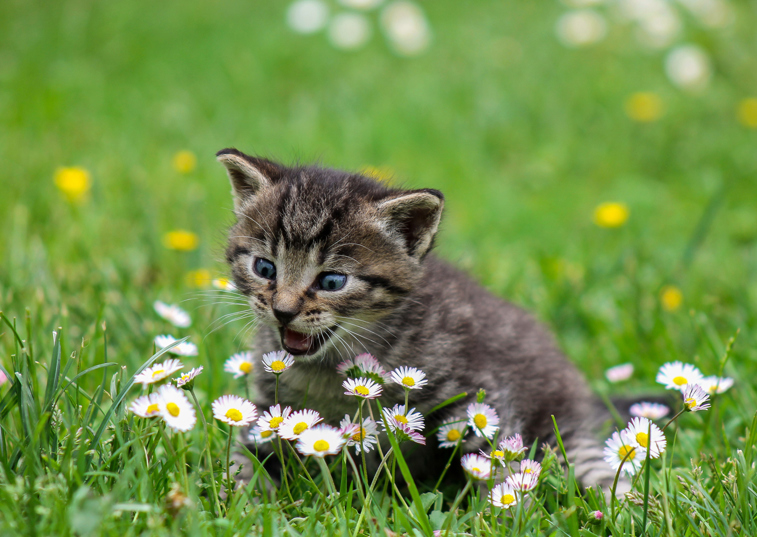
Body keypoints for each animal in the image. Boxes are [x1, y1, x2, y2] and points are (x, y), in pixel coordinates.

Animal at [217, 149, 616, 488]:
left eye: (332, 281)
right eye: (264, 268)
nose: (283, 310)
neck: (329, 369)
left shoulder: (481, 394)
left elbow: (496, 459)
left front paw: (501, 509)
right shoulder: (269, 408)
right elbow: (242, 456)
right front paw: (242, 494)